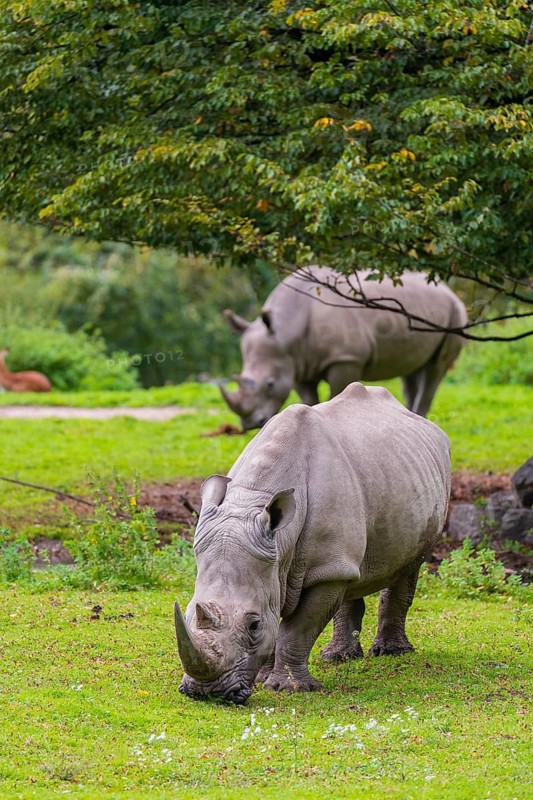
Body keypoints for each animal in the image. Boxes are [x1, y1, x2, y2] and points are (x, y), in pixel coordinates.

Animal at [174, 382, 451, 704]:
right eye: (189, 613)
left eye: (254, 625)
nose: (207, 692)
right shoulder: (278, 562)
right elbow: (279, 621)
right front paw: (264, 679)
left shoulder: (321, 570)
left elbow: (295, 630)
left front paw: (287, 687)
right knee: (352, 571)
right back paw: (338, 657)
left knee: (408, 565)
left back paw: (390, 653)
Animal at [221, 267, 467, 429]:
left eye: (270, 384)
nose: (250, 425)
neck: (287, 329)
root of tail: (448, 289)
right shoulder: (297, 364)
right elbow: (309, 399)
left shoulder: (346, 358)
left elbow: (337, 394)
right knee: (412, 370)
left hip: (455, 315)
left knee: (435, 369)